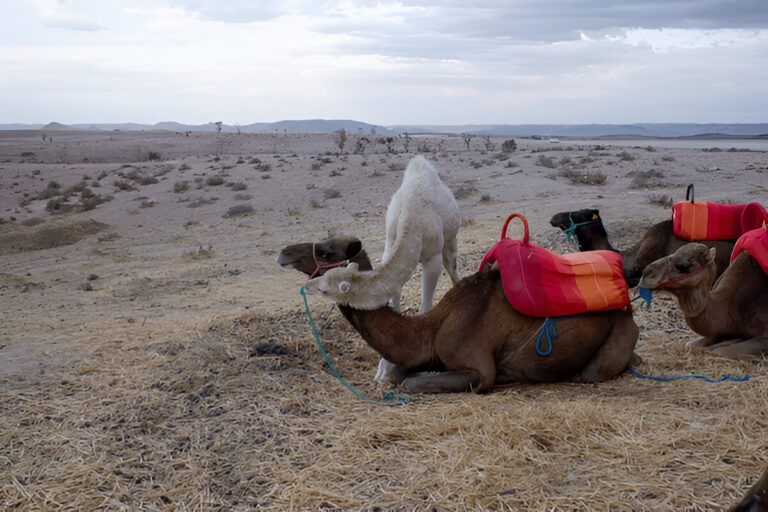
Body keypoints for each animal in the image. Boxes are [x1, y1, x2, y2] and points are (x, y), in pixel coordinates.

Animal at [298, 237, 639, 393]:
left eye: (325, 252)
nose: (289, 254)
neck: (431, 329)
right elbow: (401, 374)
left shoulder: (479, 369)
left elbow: (410, 384)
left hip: (616, 336)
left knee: (596, 370)